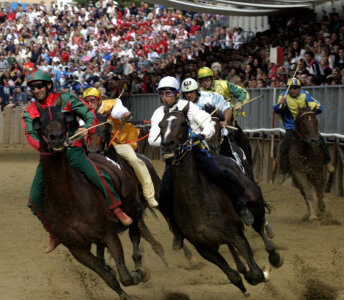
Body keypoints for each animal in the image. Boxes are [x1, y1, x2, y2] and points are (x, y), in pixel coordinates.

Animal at [32, 105, 167, 300]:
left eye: (64, 120)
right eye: (41, 123)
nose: (56, 138)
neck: (68, 201)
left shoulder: (108, 233)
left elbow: (125, 276)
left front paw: (138, 273)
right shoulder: (77, 249)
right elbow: (109, 277)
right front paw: (120, 284)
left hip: (134, 207)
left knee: (136, 233)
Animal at [159, 102, 282, 298]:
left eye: (183, 124)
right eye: (160, 126)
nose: (168, 145)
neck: (198, 203)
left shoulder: (236, 234)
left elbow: (256, 273)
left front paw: (261, 273)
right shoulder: (204, 248)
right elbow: (233, 275)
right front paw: (244, 284)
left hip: (255, 202)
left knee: (259, 225)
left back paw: (274, 256)